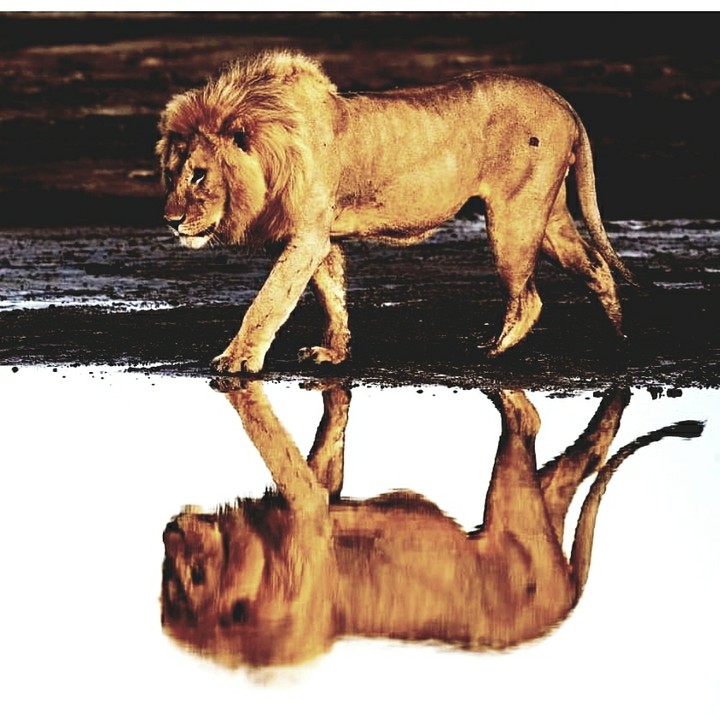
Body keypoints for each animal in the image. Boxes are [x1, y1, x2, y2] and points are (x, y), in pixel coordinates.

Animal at [157, 50, 637, 374]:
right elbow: (331, 296)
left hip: (514, 219)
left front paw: (237, 360)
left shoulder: (307, 236)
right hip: (548, 217)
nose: (171, 221)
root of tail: (563, 102)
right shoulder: (320, 237)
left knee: (529, 297)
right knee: (595, 266)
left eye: (198, 175)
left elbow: (269, 299)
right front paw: (334, 353)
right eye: (172, 172)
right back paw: (618, 338)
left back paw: (493, 350)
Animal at [161, 381, 703, 668]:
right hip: (537, 508)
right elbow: (328, 443)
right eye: (168, 585)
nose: (169, 532)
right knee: (582, 455)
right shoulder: (320, 495)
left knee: (529, 422)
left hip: (510, 500)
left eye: (196, 576)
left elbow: (283, 458)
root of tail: (569, 602)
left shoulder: (306, 520)